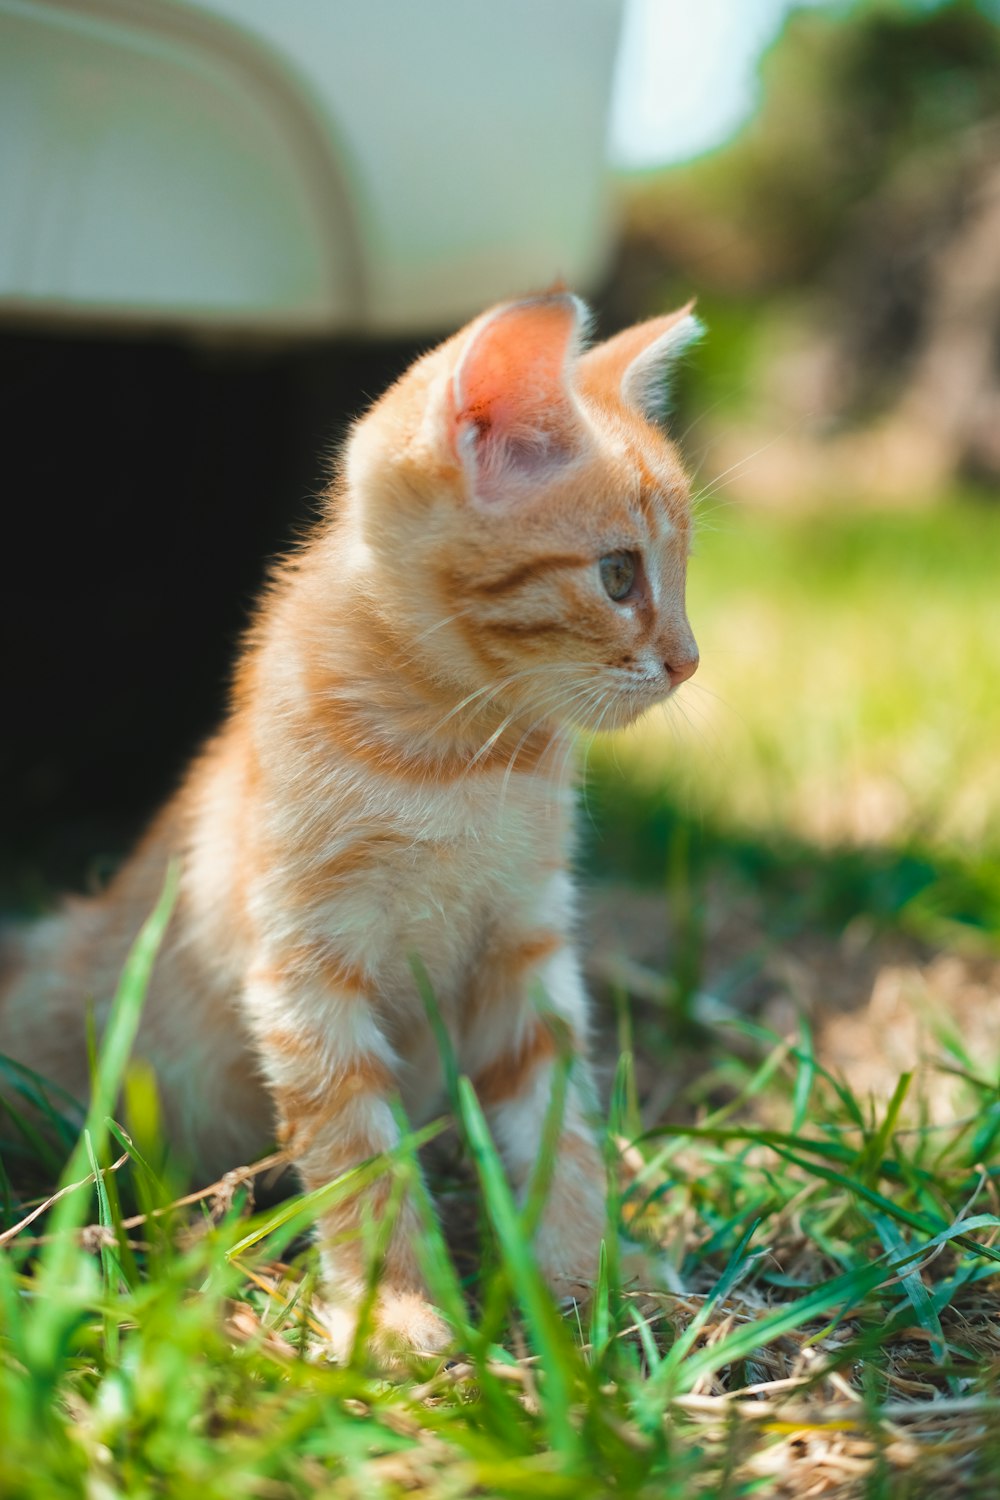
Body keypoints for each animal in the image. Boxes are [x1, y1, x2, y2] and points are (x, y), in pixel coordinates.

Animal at [0, 289, 704, 1362]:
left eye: (682, 568)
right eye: (620, 575)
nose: (691, 662)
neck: (462, 755)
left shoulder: (526, 942)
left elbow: (561, 1124)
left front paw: (591, 1274)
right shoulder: (304, 974)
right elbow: (356, 1149)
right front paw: (397, 1309)